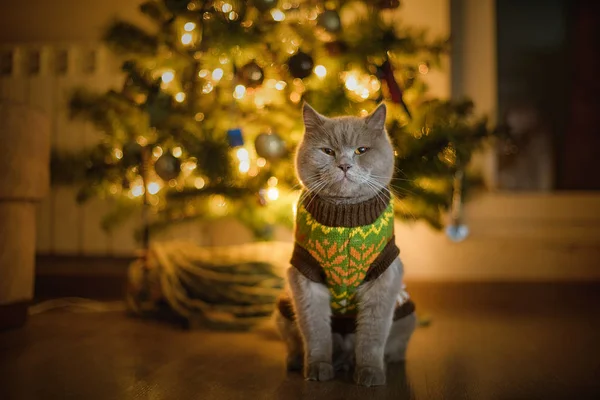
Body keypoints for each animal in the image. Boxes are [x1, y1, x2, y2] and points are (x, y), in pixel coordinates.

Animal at [276, 101, 418, 386]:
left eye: (361, 150)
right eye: (328, 151)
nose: (344, 165)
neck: (345, 217)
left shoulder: (385, 277)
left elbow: (372, 335)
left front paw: (370, 373)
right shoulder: (305, 277)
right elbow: (316, 332)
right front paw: (318, 369)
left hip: (407, 315)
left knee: (393, 348)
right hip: (283, 308)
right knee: (297, 343)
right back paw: (301, 362)